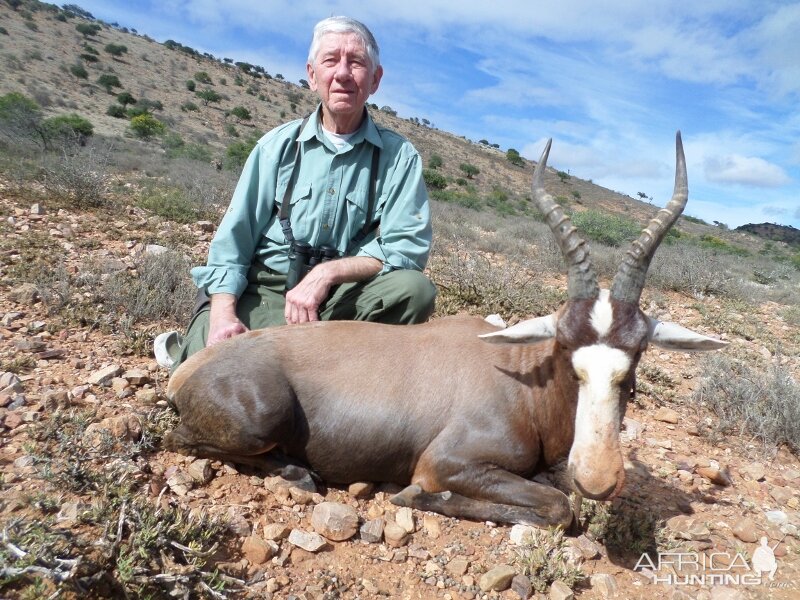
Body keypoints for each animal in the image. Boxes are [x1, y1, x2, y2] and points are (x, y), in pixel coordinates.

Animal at [162, 131, 724, 524]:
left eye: (638, 353)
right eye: (566, 348)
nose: (599, 479)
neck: (518, 377)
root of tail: (190, 367)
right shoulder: (448, 463)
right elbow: (558, 508)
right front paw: (412, 495)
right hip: (259, 419)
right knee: (182, 439)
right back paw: (299, 472)